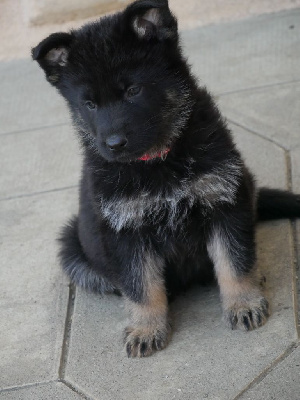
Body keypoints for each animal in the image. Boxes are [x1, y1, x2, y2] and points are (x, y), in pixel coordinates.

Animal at [32, 0, 300, 356]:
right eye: (89, 104)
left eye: (133, 90)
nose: (113, 144)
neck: (158, 160)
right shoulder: (125, 230)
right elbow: (141, 285)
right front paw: (147, 328)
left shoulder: (225, 201)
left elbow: (233, 260)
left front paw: (242, 302)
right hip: (72, 245)